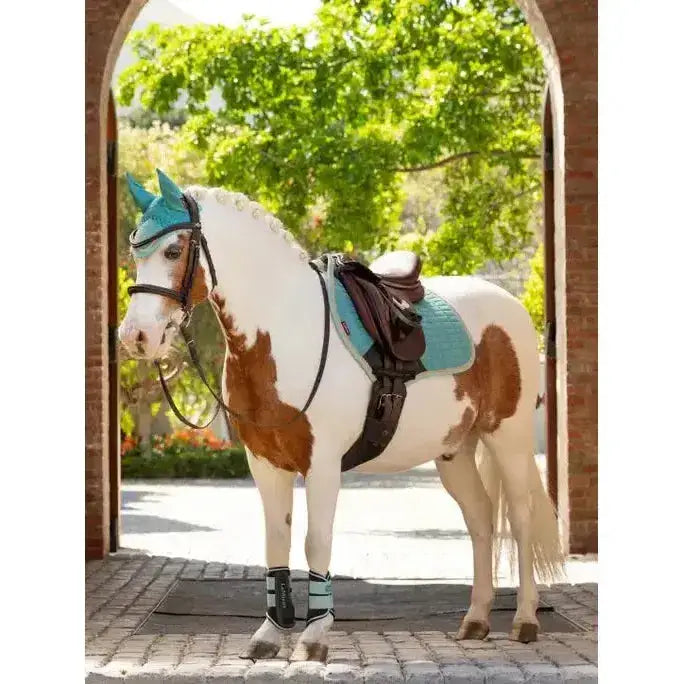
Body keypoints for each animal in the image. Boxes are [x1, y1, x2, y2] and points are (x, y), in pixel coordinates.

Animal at [119, 169, 564, 662]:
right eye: (135, 250)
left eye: (173, 250)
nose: (136, 336)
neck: (286, 330)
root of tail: (510, 306)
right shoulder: (265, 463)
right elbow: (276, 542)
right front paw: (269, 635)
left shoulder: (322, 464)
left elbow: (316, 540)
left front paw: (313, 638)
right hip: (455, 451)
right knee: (481, 520)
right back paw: (476, 621)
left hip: (508, 437)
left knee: (520, 518)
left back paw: (524, 620)